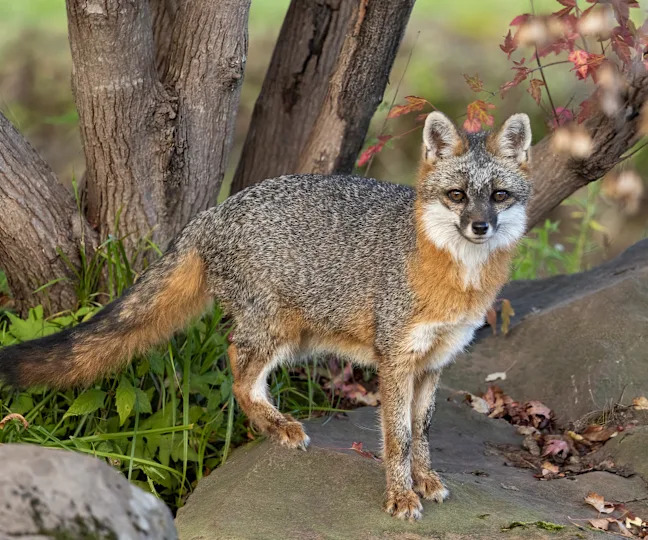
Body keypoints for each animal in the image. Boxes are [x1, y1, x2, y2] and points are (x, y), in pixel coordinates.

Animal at [0, 111, 531, 520]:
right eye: (457, 195)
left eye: (499, 196)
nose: (480, 226)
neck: (457, 276)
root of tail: (213, 212)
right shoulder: (396, 359)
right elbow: (397, 437)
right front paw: (400, 496)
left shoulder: (434, 362)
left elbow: (421, 433)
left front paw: (424, 480)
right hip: (277, 331)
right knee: (236, 368)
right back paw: (276, 426)